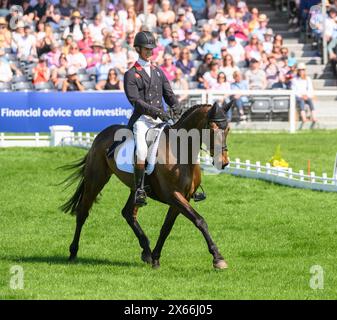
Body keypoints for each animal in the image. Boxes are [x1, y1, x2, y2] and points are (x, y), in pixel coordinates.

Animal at [60, 101, 232, 268]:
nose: (223, 162)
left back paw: (147, 251)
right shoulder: (173, 195)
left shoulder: (184, 197)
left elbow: (166, 228)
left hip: (135, 189)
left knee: (128, 213)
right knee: (83, 212)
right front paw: (218, 258)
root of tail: (101, 134)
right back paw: (73, 253)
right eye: (212, 128)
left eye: (228, 129)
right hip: (96, 179)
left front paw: (155, 258)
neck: (179, 151)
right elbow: (200, 220)